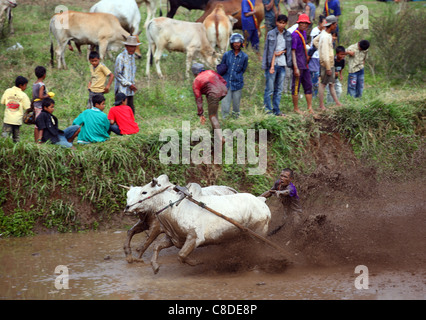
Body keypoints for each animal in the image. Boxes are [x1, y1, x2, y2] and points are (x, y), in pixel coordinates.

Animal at [124, 174, 270, 274]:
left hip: (258, 232)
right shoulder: (174, 238)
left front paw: (197, 262)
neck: (175, 207)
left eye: (144, 192)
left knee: (260, 250)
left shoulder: (195, 237)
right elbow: (156, 246)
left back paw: (256, 266)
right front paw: (154, 266)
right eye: (127, 194)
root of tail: (261, 202)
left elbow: (181, 255)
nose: (127, 207)